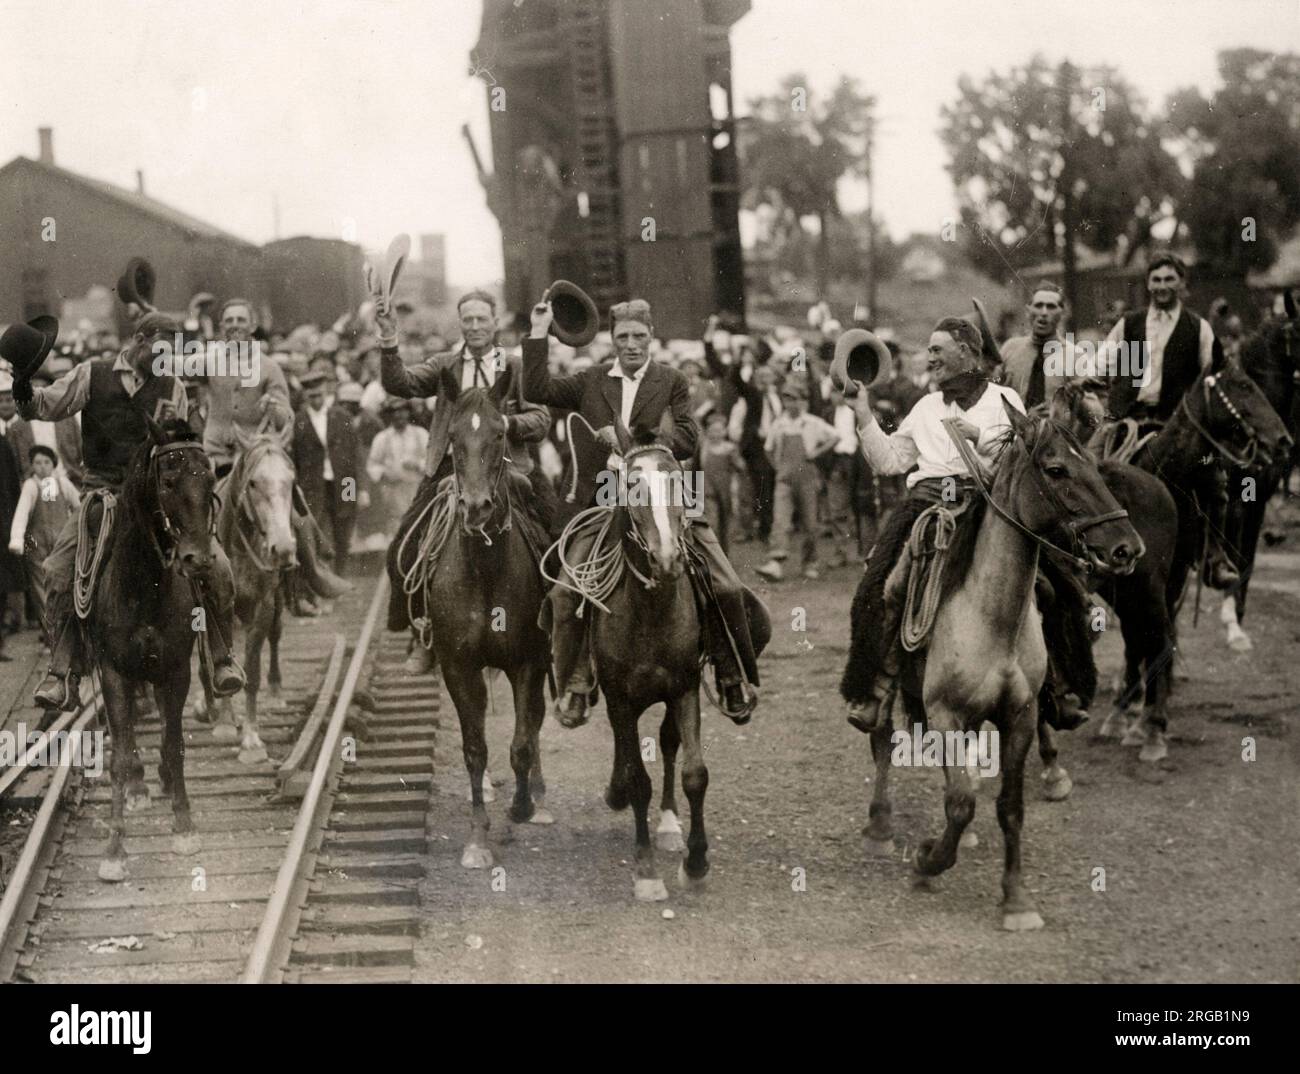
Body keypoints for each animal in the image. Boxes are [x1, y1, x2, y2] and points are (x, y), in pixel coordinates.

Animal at [88, 413, 218, 873]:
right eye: (168, 480)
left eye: (210, 478)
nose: (197, 559)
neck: (143, 585)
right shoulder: (114, 672)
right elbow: (121, 755)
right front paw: (114, 847)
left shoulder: (175, 669)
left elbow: (174, 744)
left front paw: (184, 825)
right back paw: (139, 789)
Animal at [197, 434, 297, 759]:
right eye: (253, 483)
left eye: (291, 480)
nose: (283, 548)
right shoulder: (216, 606)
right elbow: (221, 657)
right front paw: (226, 723)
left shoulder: (262, 605)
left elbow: (252, 670)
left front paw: (252, 738)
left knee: (276, 634)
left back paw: (275, 691)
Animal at [421, 364, 553, 868]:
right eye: (454, 437)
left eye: (500, 434)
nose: (476, 507)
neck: (485, 567)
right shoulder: (459, 666)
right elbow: (475, 749)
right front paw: (478, 838)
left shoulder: (528, 662)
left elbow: (520, 742)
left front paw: (522, 806)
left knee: (533, 721)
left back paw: (536, 796)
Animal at [857, 400, 1144, 930]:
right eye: (1056, 469)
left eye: (1096, 467)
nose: (1127, 548)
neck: (992, 616)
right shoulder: (945, 713)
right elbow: (960, 802)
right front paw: (927, 862)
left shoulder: (1020, 716)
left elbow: (1009, 807)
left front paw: (1016, 899)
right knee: (883, 741)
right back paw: (880, 824)